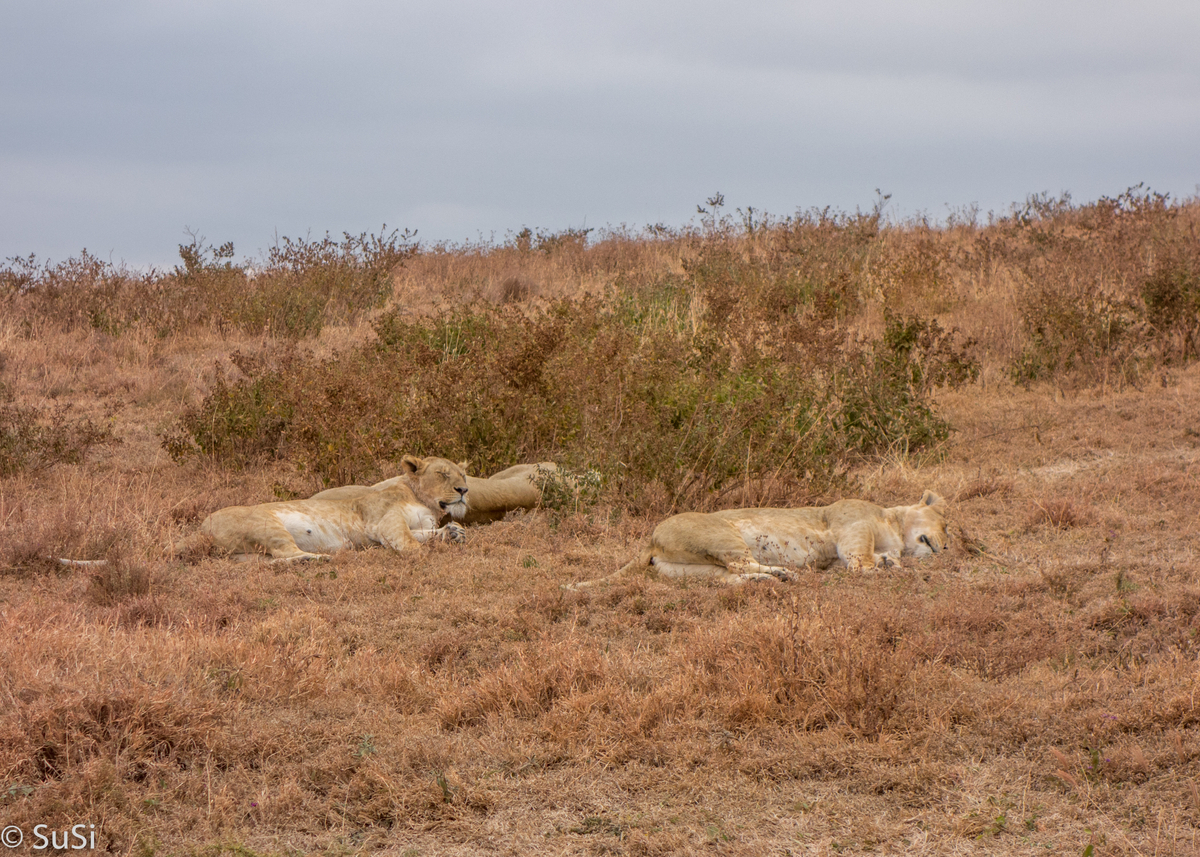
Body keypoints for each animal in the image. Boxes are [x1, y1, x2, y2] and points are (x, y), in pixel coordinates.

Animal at [175, 453, 470, 561]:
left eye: (463, 475)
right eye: (443, 474)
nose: (464, 491)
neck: (425, 502)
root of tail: (200, 527)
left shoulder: (414, 525)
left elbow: (424, 533)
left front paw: (453, 532)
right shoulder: (383, 518)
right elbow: (407, 540)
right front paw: (421, 553)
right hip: (266, 524)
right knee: (284, 554)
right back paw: (320, 557)